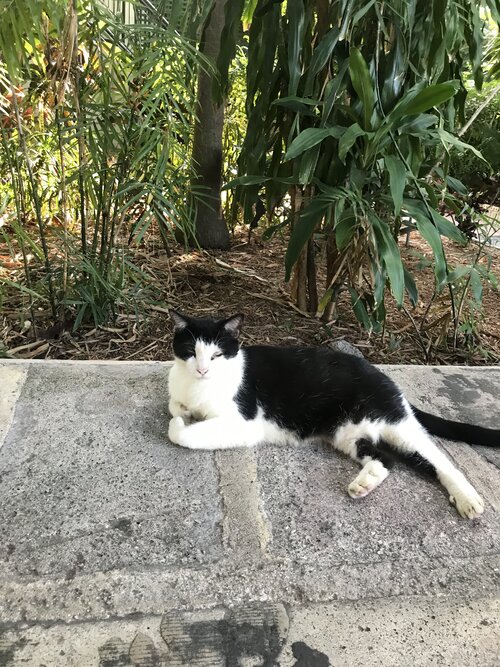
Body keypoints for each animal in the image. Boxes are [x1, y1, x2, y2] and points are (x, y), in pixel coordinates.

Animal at [167, 310, 499, 520]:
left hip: (395, 424)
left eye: (217, 355)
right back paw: (365, 483)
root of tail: (384, 377)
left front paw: (183, 422)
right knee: (386, 458)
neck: (198, 387)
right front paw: (185, 411)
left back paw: (468, 498)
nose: (202, 370)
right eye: (191, 352)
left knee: (439, 458)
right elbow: (174, 404)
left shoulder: (243, 423)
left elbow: (178, 431)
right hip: (347, 432)